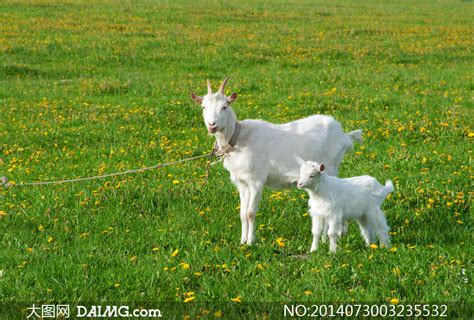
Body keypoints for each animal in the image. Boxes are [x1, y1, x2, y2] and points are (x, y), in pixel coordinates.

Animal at [191, 79, 362, 244]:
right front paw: (242, 241)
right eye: (203, 107)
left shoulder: (256, 181)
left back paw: (328, 237)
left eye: (224, 106)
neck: (238, 138)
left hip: (331, 167)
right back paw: (340, 233)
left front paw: (251, 242)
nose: (212, 125)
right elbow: (242, 214)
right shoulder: (242, 183)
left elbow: (251, 213)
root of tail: (344, 135)